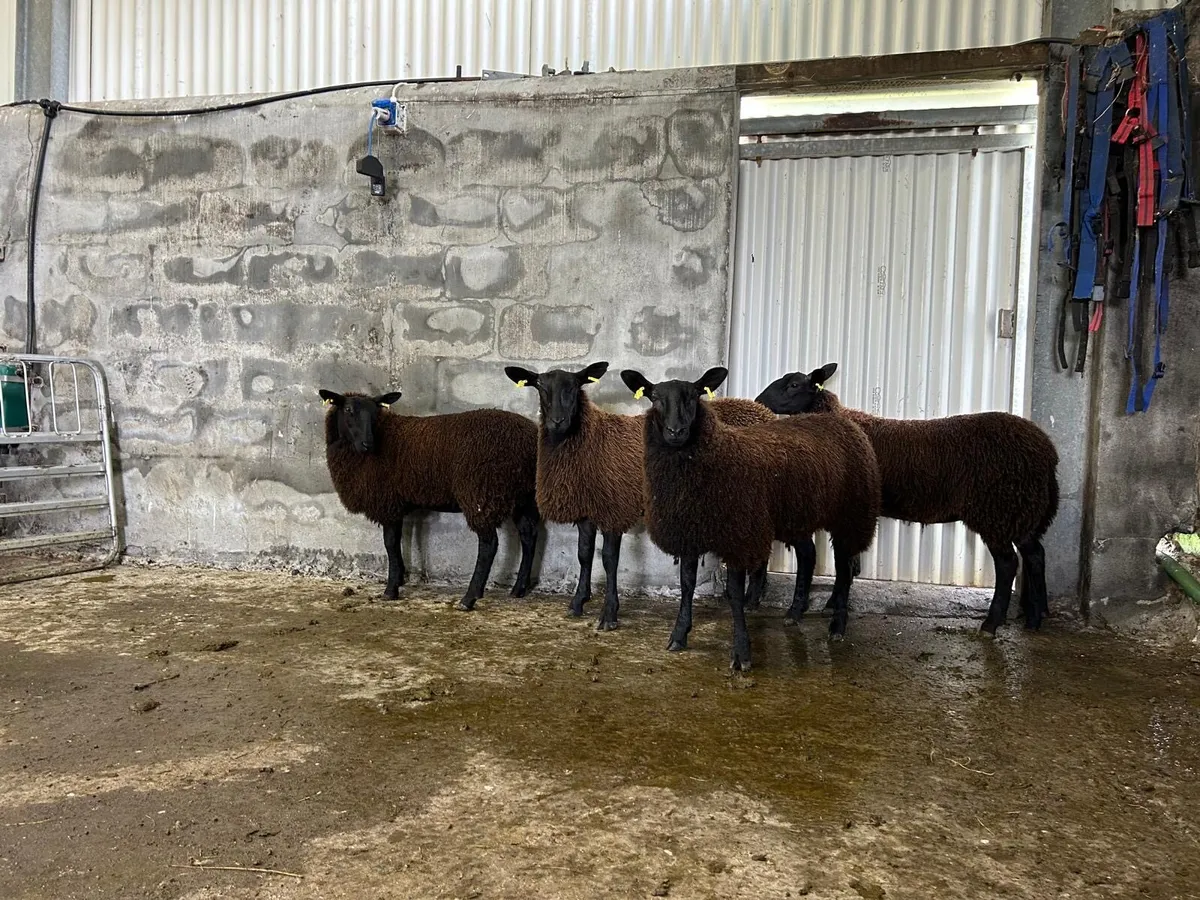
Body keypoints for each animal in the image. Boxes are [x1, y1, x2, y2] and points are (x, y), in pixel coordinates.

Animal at [320, 388, 541, 611]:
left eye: (375, 412)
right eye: (348, 410)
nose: (368, 444)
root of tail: (530, 439)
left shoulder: (388, 502)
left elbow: (390, 543)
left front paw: (391, 589)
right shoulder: (398, 503)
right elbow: (399, 541)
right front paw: (400, 578)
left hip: (481, 494)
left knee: (489, 545)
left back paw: (469, 598)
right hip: (522, 496)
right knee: (528, 535)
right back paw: (518, 589)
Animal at [504, 361, 775, 633]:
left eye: (574, 385)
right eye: (540, 386)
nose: (557, 422)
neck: (592, 441)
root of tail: (762, 411)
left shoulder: (614, 507)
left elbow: (609, 560)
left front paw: (609, 614)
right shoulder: (587, 508)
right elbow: (584, 554)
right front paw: (578, 602)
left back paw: (752, 600)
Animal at [620, 366, 881, 670]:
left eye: (694, 396)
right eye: (655, 398)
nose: (676, 431)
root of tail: (840, 421)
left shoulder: (739, 535)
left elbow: (734, 594)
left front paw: (742, 653)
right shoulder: (690, 531)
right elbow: (687, 585)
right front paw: (679, 635)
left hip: (851, 513)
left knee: (844, 568)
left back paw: (838, 625)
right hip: (797, 514)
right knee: (809, 555)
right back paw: (795, 613)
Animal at [755, 363, 1059, 634]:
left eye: (794, 385)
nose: (758, 401)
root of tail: (1047, 451)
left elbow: (846, 563)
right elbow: (852, 563)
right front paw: (832, 604)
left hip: (998, 510)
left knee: (1008, 564)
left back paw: (991, 624)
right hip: (1022, 511)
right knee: (1035, 555)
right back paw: (1036, 618)